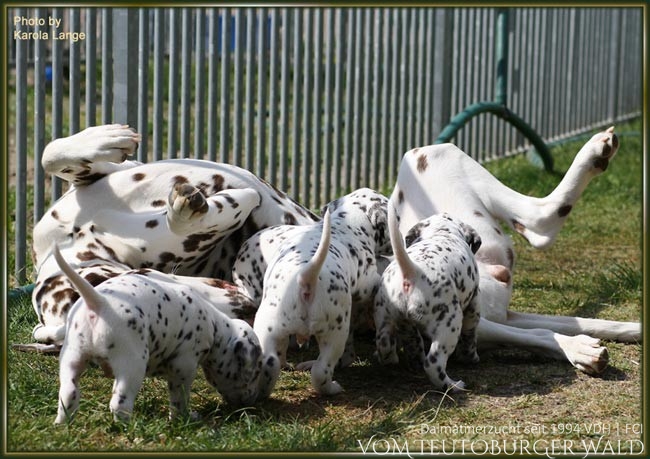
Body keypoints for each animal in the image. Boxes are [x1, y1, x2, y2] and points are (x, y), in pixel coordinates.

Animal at [50, 244, 262, 424]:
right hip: (131, 364)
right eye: (251, 372)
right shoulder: (183, 366)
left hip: (72, 358)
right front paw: (184, 418)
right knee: (119, 404)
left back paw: (62, 424)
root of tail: (99, 302)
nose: (251, 402)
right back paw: (128, 427)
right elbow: (179, 398)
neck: (214, 324)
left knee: (68, 395)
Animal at [248, 189, 389, 398]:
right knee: (321, 371)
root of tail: (306, 278)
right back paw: (332, 387)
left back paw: (263, 390)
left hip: (269, 328)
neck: (348, 221)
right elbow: (373, 282)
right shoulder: (365, 281)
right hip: (335, 334)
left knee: (271, 363)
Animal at [374, 206, 481, 391]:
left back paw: (399, 360)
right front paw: (471, 358)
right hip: (449, 324)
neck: (442, 232)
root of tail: (412, 271)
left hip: (387, 318)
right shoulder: (473, 305)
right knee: (433, 364)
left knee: (387, 345)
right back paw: (454, 386)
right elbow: (470, 336)